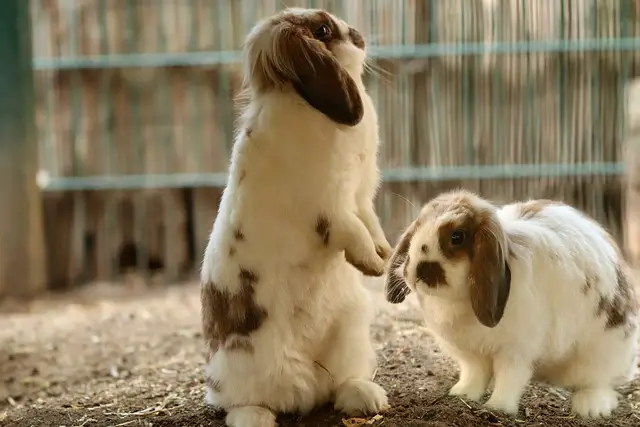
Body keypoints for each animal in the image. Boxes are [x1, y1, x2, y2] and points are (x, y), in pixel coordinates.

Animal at [200, 6, 392, 427]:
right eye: (321, 30)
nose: (359, 35)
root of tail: (305, 386)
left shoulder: (361, 196)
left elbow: (370, 223)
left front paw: (384, 255)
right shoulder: (331, 206)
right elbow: (352, 231)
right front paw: (371, 265)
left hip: (352, 332)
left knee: (338, 386)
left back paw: (367, 397)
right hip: (238, 365)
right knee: (235, 402)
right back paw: (256, 418)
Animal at [384, 191, 640, 418]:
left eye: (457, 236)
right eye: (417, 227)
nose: (417, 270)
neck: (458, 301)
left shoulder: (516, 351)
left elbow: (510, 378)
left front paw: (497, 407)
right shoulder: (470, 354)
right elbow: (474, 374)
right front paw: (461, 395)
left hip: (602, 352)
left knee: (599, 383)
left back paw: (590, 408)